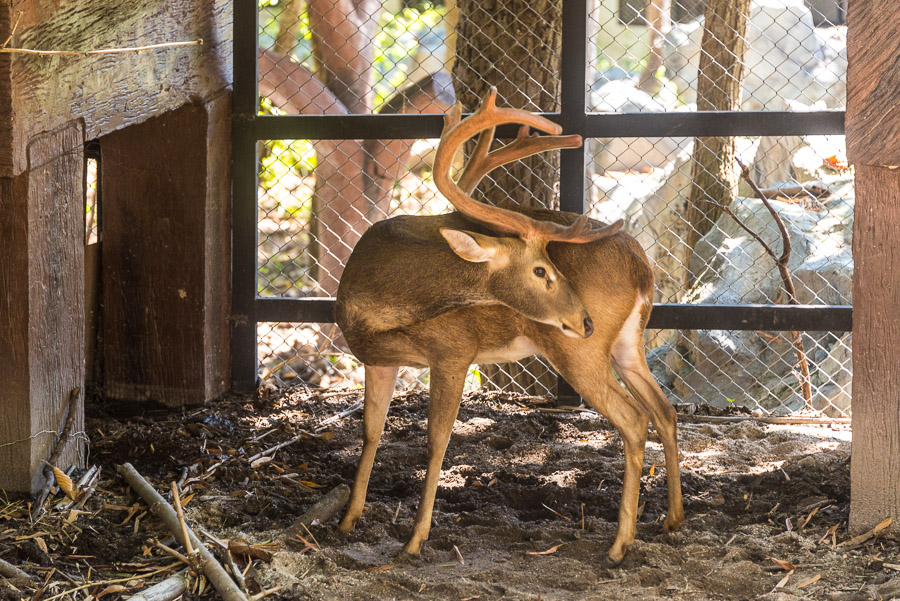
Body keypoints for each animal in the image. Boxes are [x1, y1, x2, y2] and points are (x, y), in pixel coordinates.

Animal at [334, 89, 684, 564]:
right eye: (541, 270)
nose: (585, 320)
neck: (375, 298)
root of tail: (641, 267)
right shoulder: (378, 360)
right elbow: (370, 432)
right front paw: (347, 520)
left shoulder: (453, 350)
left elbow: (436, 440)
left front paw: (415, 539)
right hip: (628, 341)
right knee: (665, 411)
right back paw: (672, 520)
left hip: (578, 351)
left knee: (634, 417)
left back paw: (618, 545)